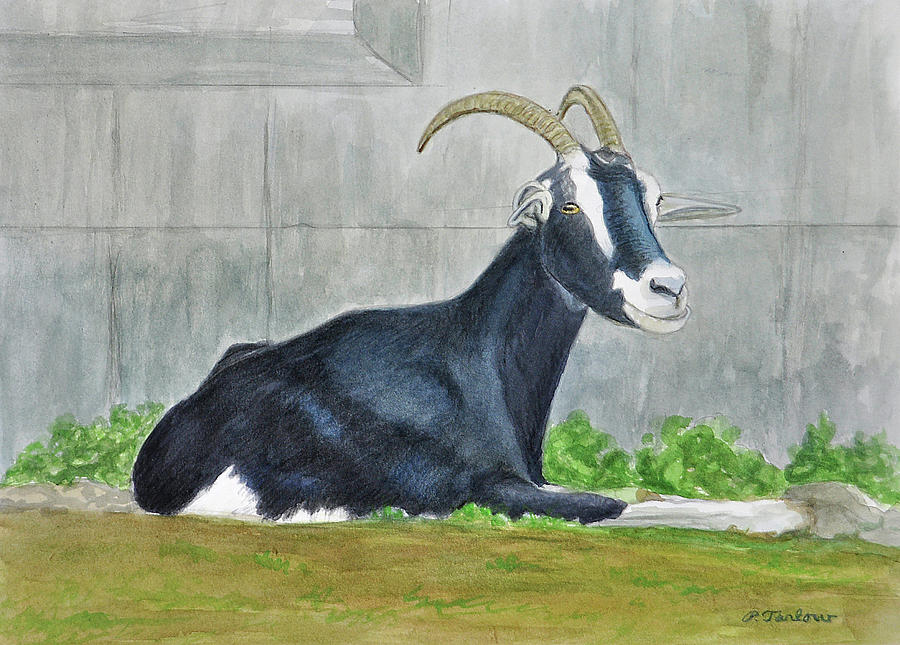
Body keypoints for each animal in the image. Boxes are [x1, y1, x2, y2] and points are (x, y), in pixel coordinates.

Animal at [132, 86, 736, 523]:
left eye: (653, 198)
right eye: (568, 204)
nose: (667, 288)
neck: (474, 352)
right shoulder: (491, 487)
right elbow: (615, 503)